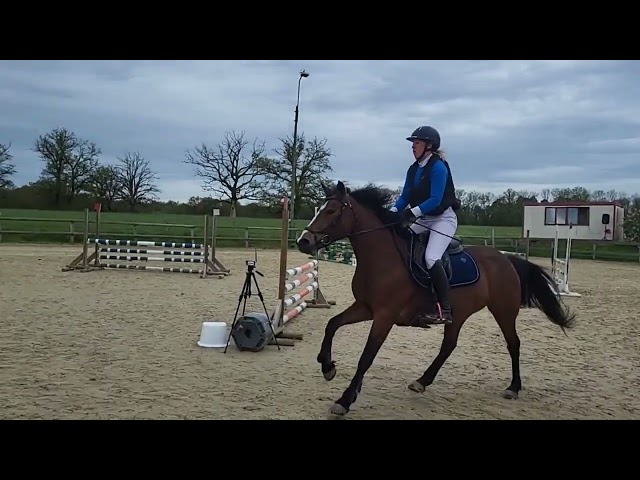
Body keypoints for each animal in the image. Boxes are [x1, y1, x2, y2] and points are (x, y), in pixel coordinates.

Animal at [296, 181, 577, 416]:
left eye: (332, 211)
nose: (303, 241)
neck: (382, 258)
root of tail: (505, 259)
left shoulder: (384, 316)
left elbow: (366, 357)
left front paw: (345, 400)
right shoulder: (365, 308)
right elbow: (332, 324)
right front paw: (327, 367)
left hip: (503, 310)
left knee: (513, 344)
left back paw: (514, 387)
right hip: (459, 315)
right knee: (448, 346)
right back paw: (422, 381)